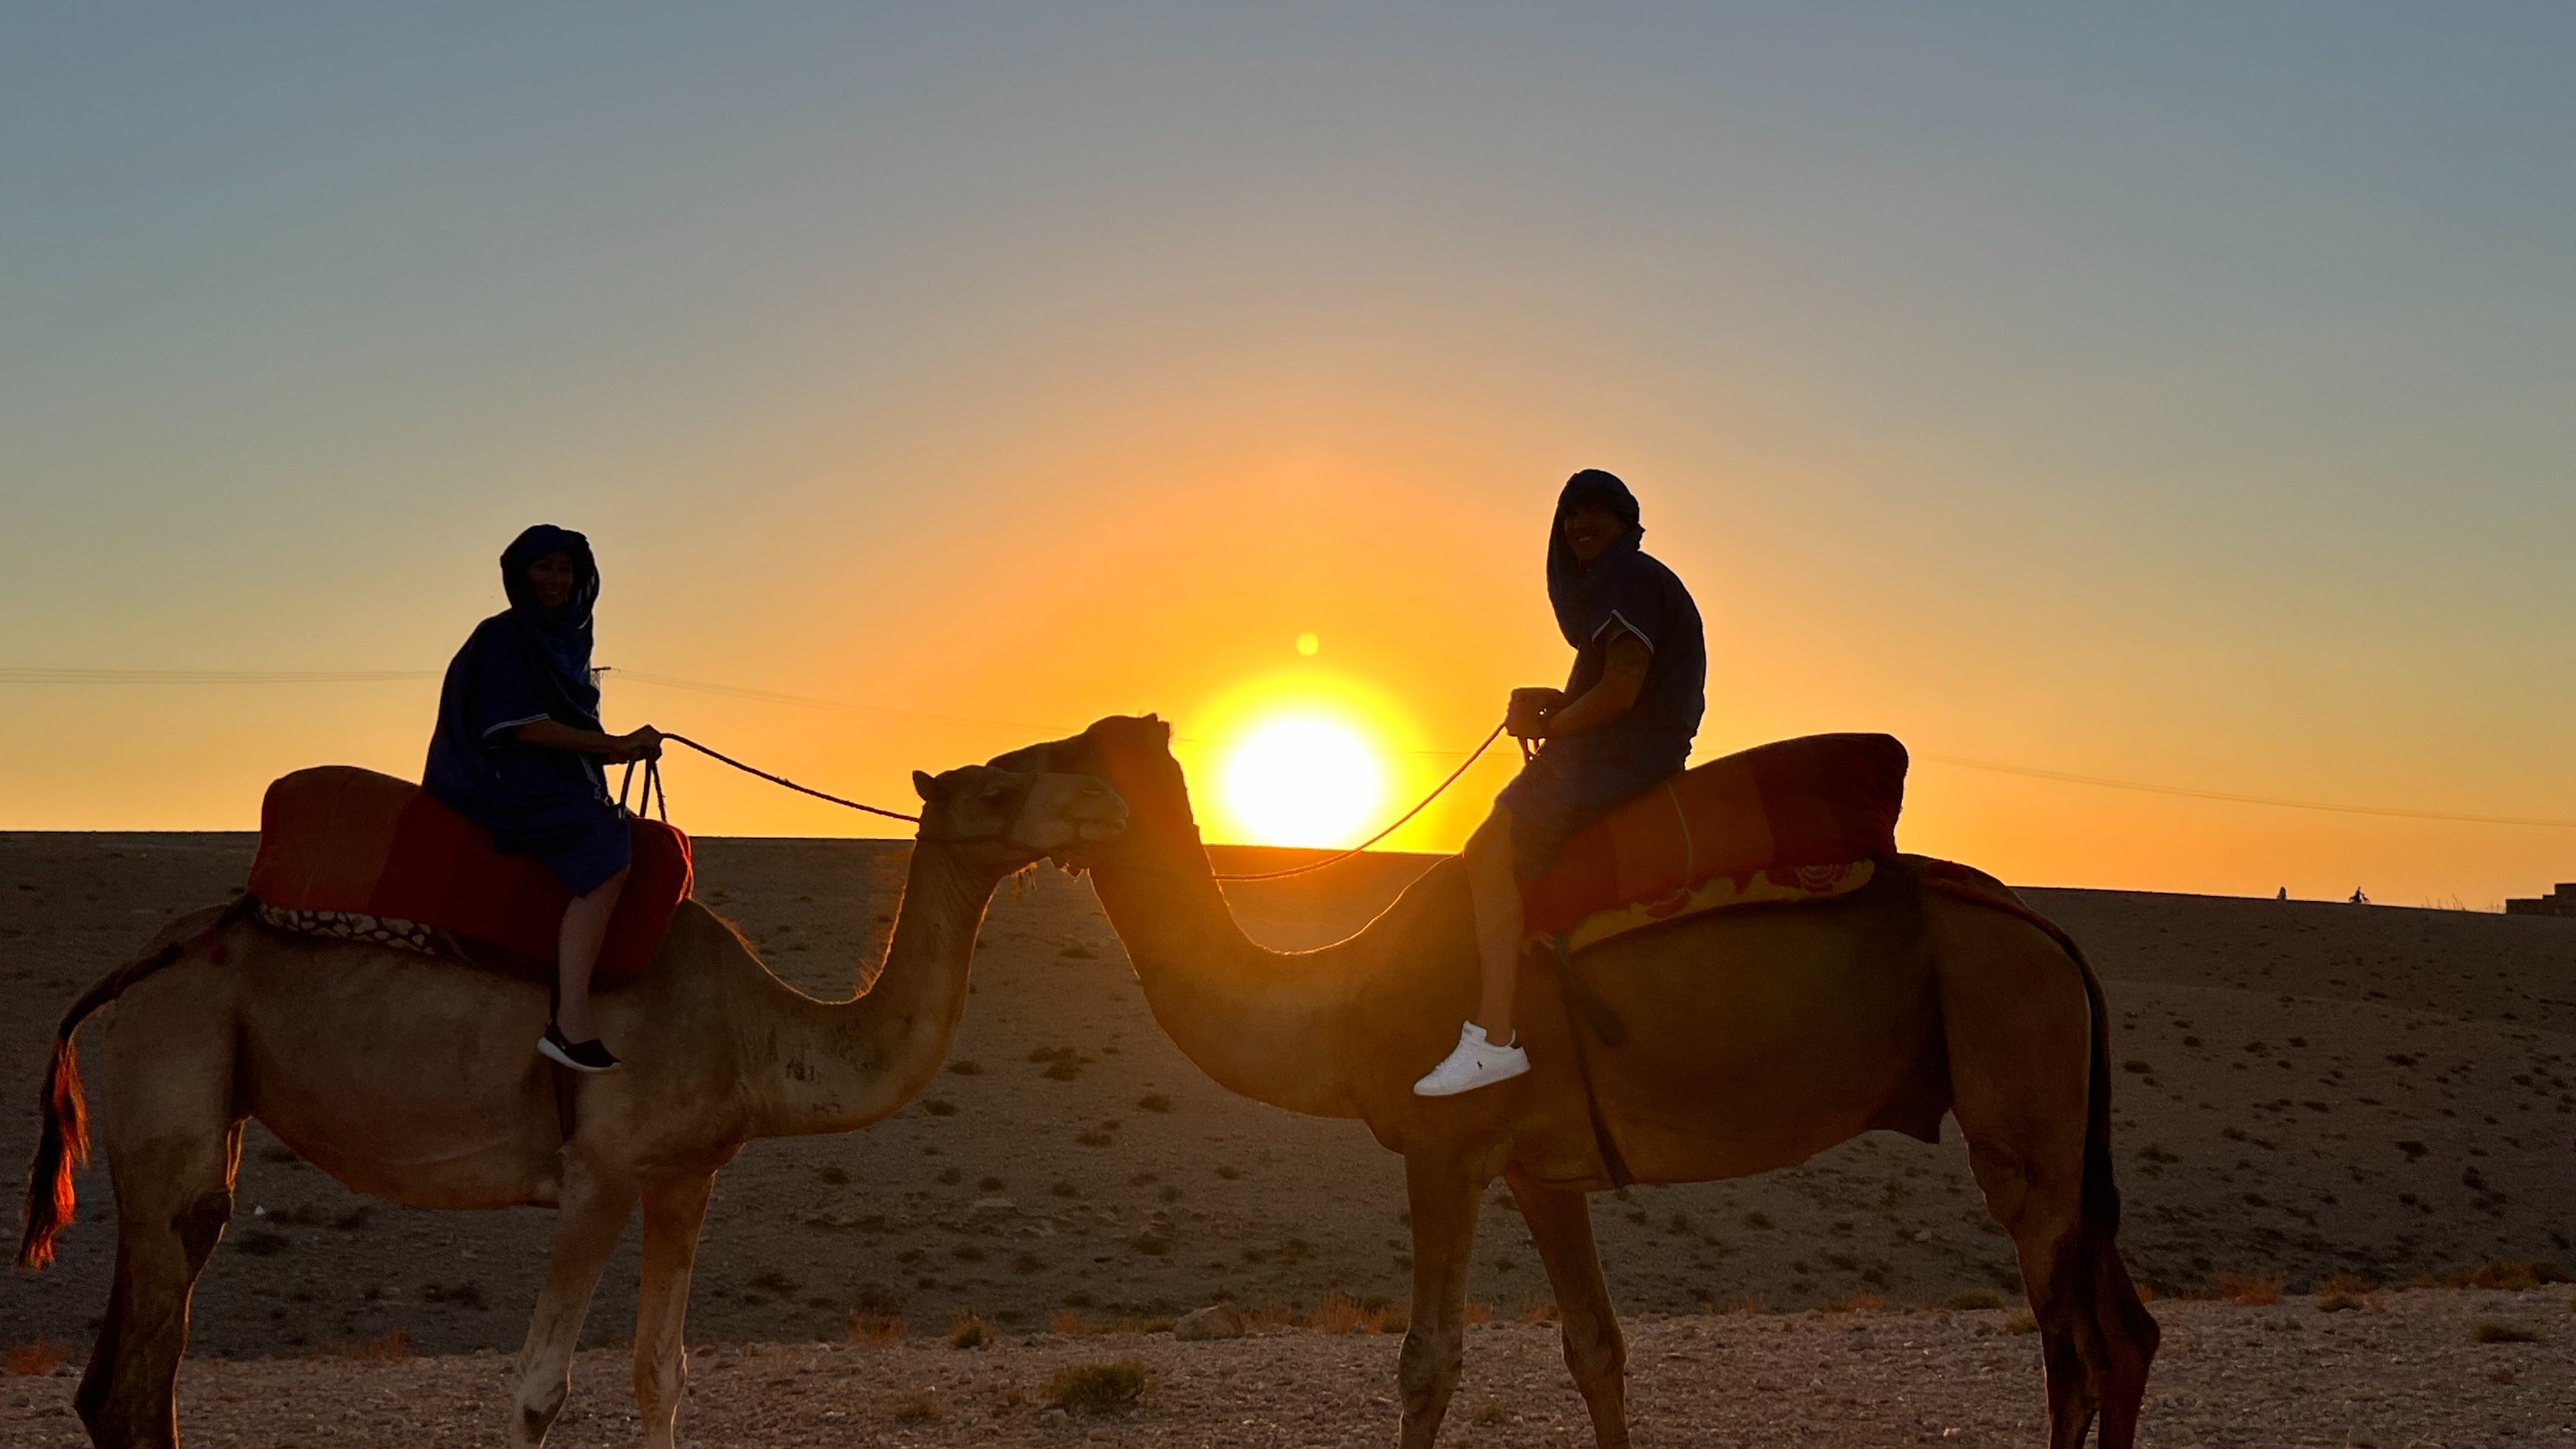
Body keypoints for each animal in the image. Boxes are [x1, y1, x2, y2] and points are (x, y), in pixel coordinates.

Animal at [16, 762, 1127, 1449]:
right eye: (1002, 780)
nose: (1106, 802)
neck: (753, 1030)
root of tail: (144, 961)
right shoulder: (598, 1174)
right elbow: (537, 1391)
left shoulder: (685, 1177)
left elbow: (661, 1370)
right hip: (175, 1067)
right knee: (136, 1372)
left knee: (125, 1377)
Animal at [996, 716, 2158, 1449]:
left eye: (1054, 758)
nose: (965, 780)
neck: (1340, 994)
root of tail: (2045, 931)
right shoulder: (1540, 1170)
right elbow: (1596, 1347)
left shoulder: (1444, 1149)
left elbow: (1428, 1360)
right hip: (2058, 1113)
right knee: (2125, 1331)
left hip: (2017, 1072)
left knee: (2071, 1342)